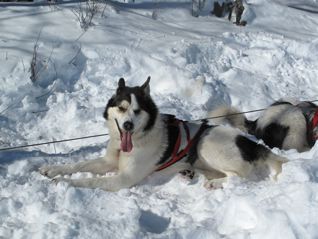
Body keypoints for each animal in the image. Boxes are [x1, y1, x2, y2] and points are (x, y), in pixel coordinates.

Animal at [39, 77, 286, 191]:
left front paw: (62, 182)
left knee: (239, 176)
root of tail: (252, 144)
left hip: (206, 143)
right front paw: (54, 169)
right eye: (122, 108)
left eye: (137, 110)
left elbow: (89, 181)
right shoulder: (108, 161)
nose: (127, 125)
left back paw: (214, 183)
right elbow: (79, 165)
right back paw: (192, 173)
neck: (135, 139)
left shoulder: (122, 178)